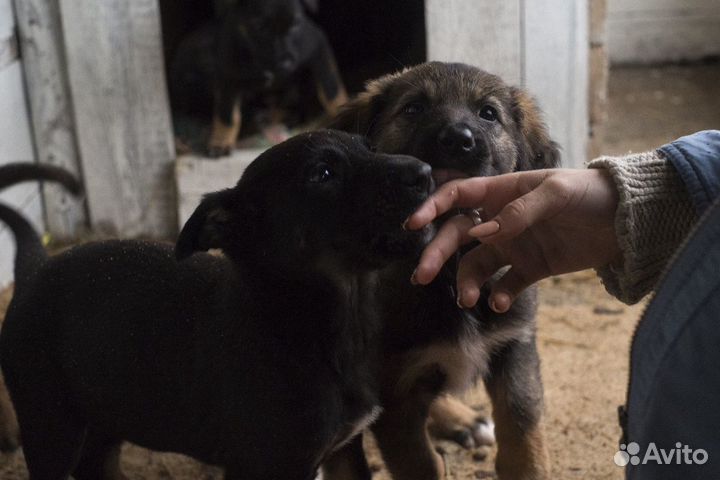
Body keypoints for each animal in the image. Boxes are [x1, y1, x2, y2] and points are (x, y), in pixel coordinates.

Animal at [0, 131, 434, 480]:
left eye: (372, 148)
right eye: (322, 174)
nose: (426, 172)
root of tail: (33, 274)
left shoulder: (345, 449)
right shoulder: (268, 465)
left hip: (104, 411)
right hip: (50, 421)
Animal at [170, 0, 348, 157]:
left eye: (296, 24)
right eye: (259, 27)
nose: (286, 64)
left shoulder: (318, 47)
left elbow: (331, 90)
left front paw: (342, 111)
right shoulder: (228, 76)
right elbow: (227, 115)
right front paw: (220, 142)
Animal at [324, 62, 556, 478]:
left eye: (488, 113)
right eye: (413, 108)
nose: (458, 140)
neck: (452, 266)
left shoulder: (514, 345)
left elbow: (523, 429)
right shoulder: (394, 394)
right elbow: (421, 463)